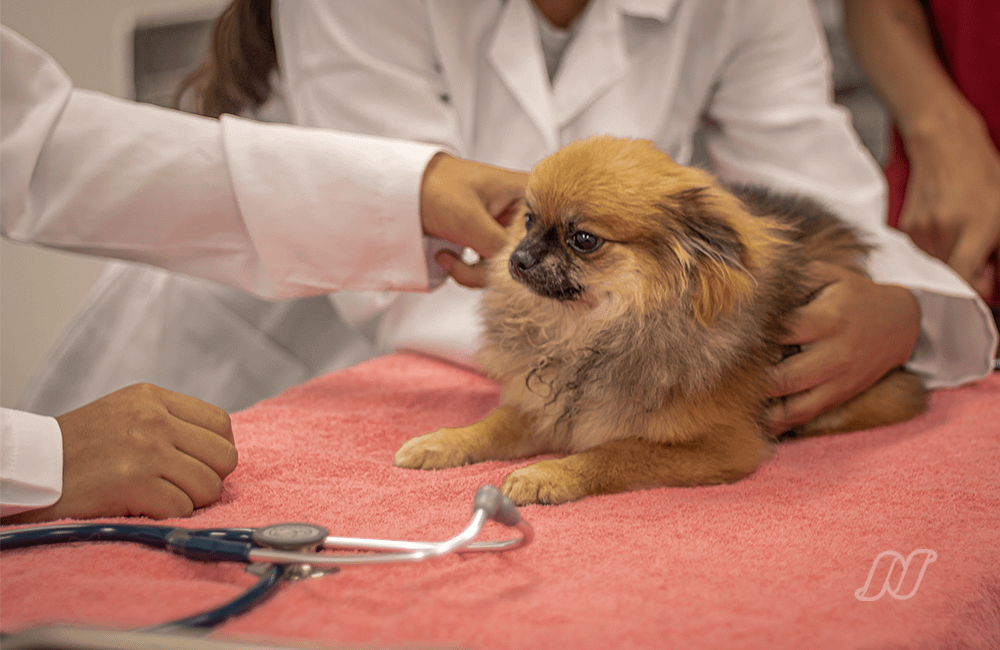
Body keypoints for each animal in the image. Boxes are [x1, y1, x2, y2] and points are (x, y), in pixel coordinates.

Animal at [394, 136, 926, 505]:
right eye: (527, 221)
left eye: (583, 240)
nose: (518, 259)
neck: (590, 331)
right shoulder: (545, 406)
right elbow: (492, 425)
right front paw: (440, 443)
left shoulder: (720, 447)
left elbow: (612, 452)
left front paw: (550, 474)